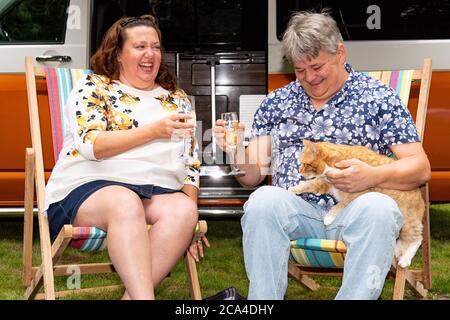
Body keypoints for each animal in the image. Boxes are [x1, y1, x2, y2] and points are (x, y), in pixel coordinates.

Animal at [288, 140, 426, 268]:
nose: (299, 171)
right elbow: (308, 184)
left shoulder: (356, 190)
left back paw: (405, 259)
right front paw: (293, 189)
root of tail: (421, 196)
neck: (335, 163)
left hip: (408, 224)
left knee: (418, 239)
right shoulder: (326, 183)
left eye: (305, 164)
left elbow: (340, 205)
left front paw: (329, 217)